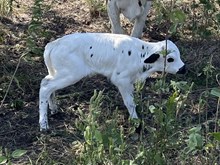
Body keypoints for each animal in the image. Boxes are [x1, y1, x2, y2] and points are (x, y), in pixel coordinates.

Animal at [38, 32, 185, 130]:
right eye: (170, 59)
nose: (183, 69)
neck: (140, 54)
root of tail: (52, 44)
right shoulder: (121, 80)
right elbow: (130, 102)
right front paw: (136, 121)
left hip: (59, 73)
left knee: (49, 87)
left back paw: (54, 109)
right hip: (70, 74)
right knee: (45, 86)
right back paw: (44, 124)